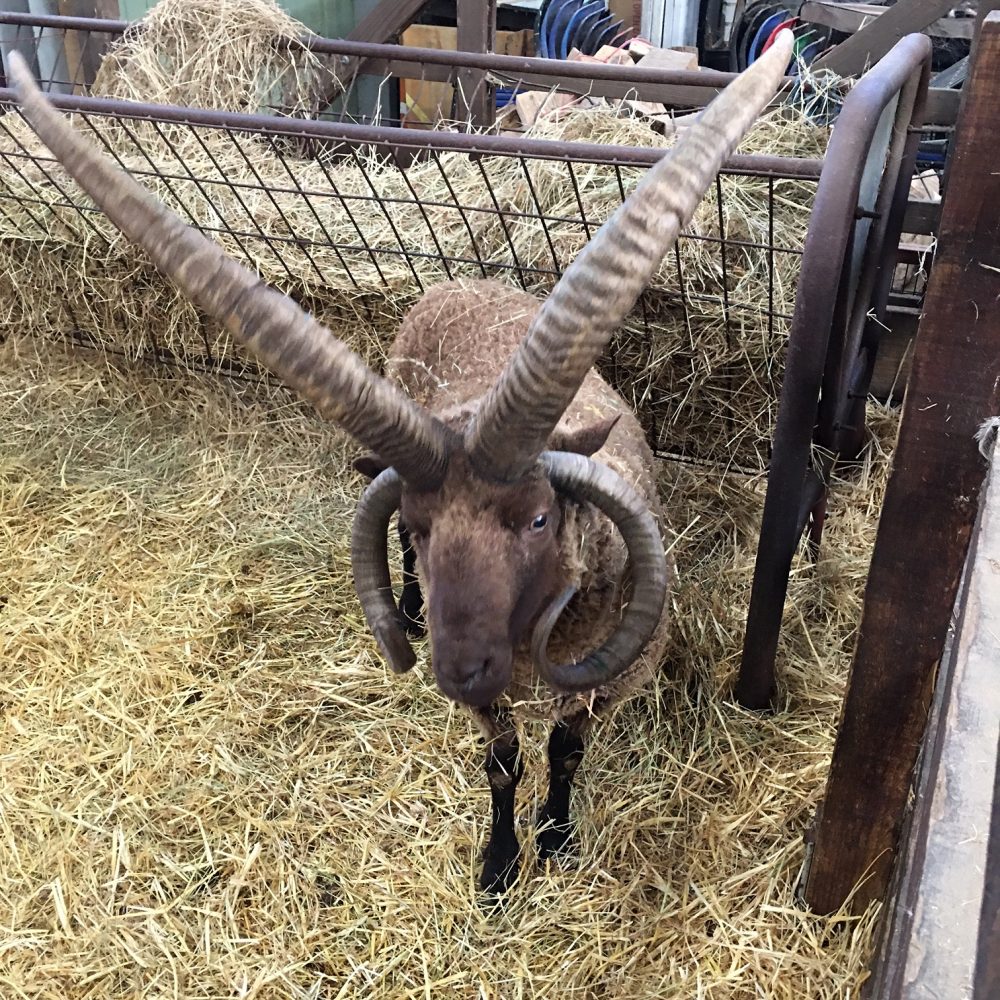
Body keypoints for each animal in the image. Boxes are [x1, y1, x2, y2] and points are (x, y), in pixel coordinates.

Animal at [5, 33, 788, 900]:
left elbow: (564, 754)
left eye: (539, 517)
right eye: (417, 521)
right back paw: (412, 608)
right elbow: (503, 763)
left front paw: (555, 837)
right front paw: (499, 864)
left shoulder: (607, 684)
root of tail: (455, 281)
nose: (458, 670)